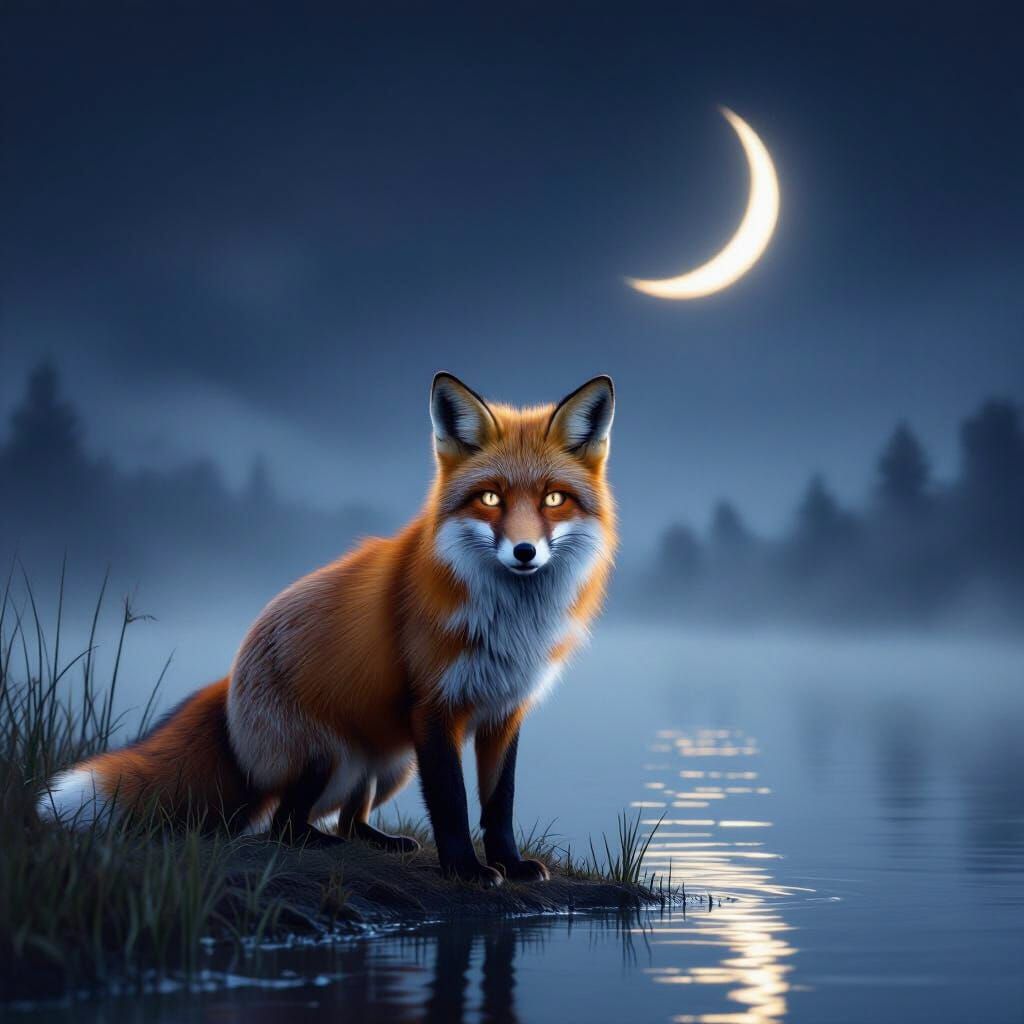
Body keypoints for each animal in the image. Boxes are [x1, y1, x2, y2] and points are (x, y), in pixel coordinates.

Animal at [37, 372, 617, 886]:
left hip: (389, 764)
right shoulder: (434, 708)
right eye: (491, 498)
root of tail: (227, 682)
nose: (525, 552)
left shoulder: (505, 711)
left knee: (349, 818)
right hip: (326, 755)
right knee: (283, 825)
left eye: (553, 499)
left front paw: (510, 864)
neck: (511, 621)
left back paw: (378, 840)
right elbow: (451, 804)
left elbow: (500, 804)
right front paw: (466, 871)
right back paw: (318, 843)